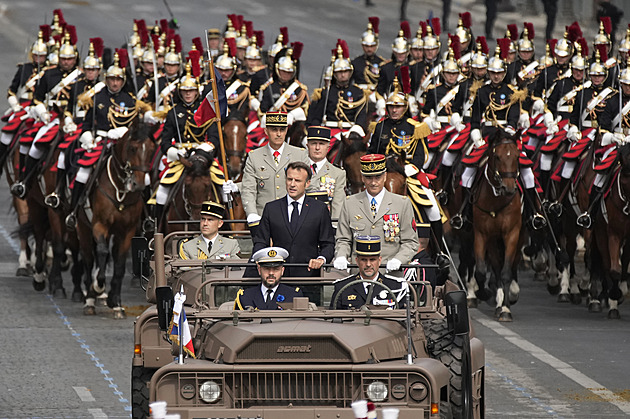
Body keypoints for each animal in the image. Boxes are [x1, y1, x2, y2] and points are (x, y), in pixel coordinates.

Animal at [76, 120, 158, 318]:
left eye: (152, 150)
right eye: (133, 148)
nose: (139, 184)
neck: (120, 189)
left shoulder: (127, 231)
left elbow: (119, 264)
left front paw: (116, 302)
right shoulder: (99, 225)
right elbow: (102, 253)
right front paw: (97, 287)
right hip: (83, 228)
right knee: (90, 258)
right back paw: (90, 299)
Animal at [472, 131, 524, 322]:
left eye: (517, 156)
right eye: (497, 156)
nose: (509, 188)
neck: (495, 201)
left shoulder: (512, 234)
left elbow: (506, 271)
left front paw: (506, 309)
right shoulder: (481, 234)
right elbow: (481, 271)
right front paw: (484, 294)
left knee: (511, 263)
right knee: (495, 265)